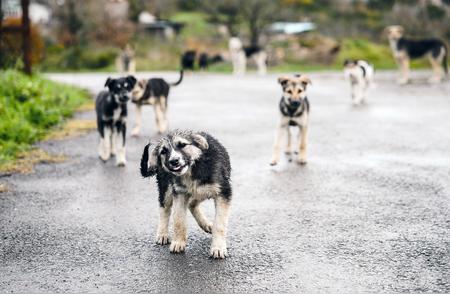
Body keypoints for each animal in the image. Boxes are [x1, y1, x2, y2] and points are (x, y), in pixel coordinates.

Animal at [141, 130, 232, 258]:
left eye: (182, 145)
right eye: (163, 151)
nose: (174, 161)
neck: (192, 170)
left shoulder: (223, 192)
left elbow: (220, 223)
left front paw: (218, 248)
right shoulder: (179, 193)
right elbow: (179, 219)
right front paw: (178, 242)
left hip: (202, 192)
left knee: (192, 204)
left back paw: (206, 224)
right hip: (167, 189)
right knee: (164, 209)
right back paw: (162, 234)